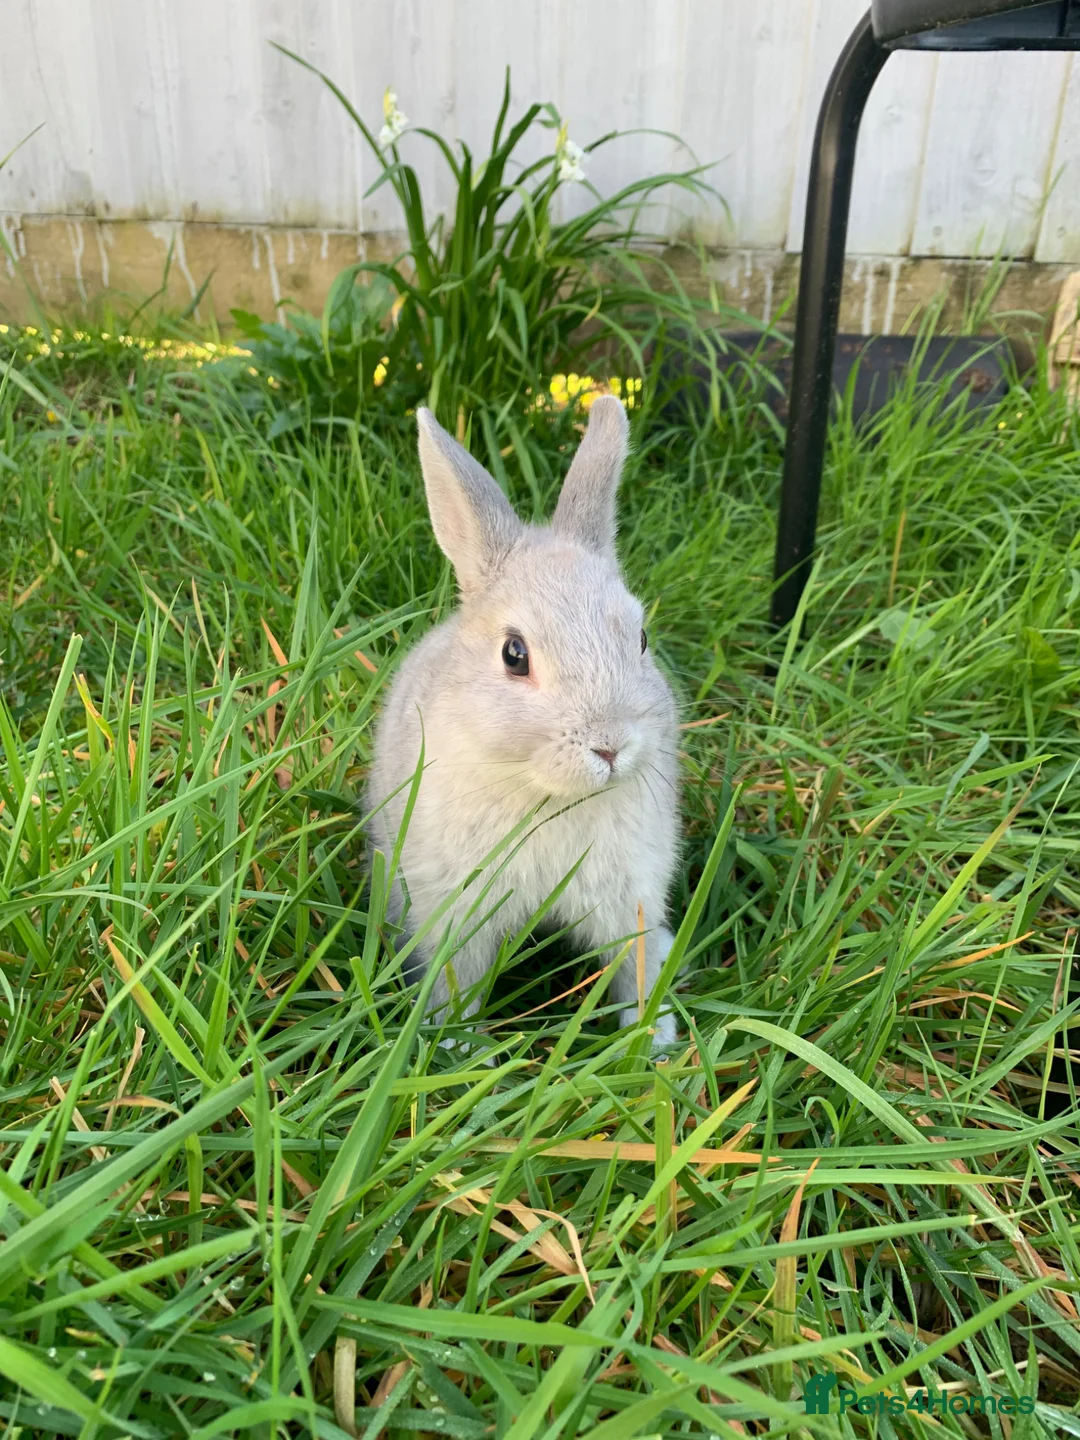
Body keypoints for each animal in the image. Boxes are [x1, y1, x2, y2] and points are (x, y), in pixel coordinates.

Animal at [366, 396, 681, 1051]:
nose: (610, 747)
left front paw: (652, 1043)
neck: (551, 796)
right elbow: (458, 982)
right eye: (515, 655)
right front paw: (456, 1046)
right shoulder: (456, 914)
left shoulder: (629, 901)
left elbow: (632, 968)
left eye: (641, 639)